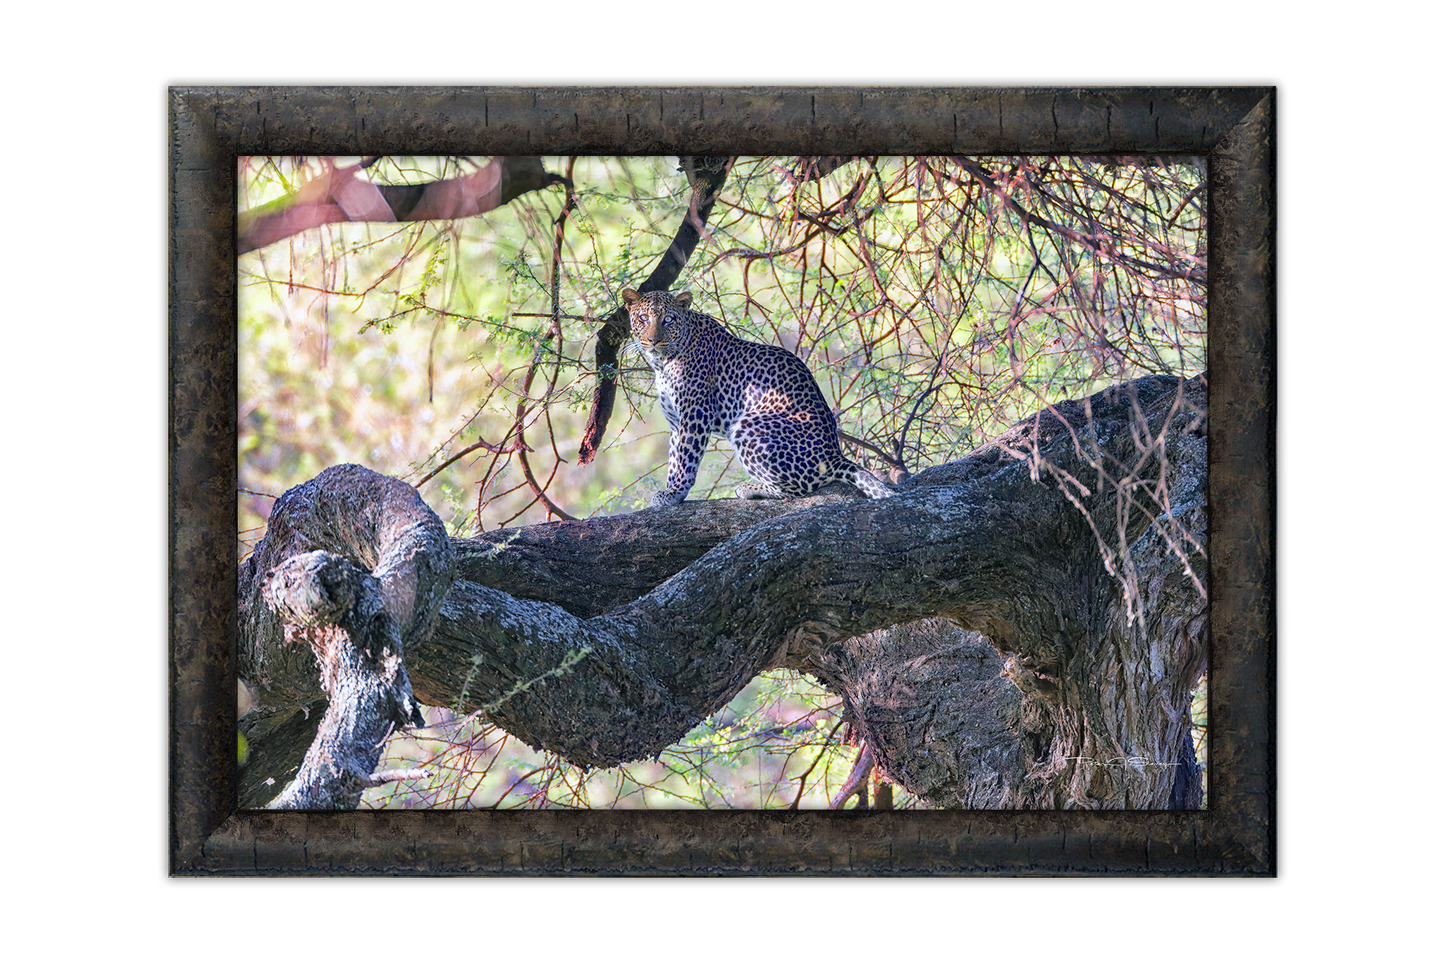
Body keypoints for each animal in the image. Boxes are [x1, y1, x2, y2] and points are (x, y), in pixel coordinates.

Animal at [623, 287, 895, 507]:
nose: (653, 340)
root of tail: (833, 455)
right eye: (643, 318)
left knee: (797, 490)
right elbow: (674, 459)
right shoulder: (677, 422)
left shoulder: (696, 414)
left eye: (668, 319)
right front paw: (671, 490)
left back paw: (749, 488)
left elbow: (686, 458)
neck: (662, 362)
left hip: (748, 426)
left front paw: (675, 493)